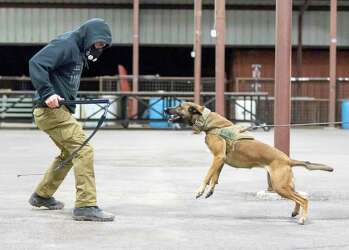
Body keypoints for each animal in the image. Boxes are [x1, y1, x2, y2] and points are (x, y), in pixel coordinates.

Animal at [164, 101, 334, 225]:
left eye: (179, 107)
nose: (166, 109)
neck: (209, 122)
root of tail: (287, 159)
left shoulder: (217, 157)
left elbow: (207, 176)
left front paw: (200, 190)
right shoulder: (221, 159)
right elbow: (215, 177)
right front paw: (210, 190)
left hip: (280, 187)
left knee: (304, 199)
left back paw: (303, 218)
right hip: (284, 185)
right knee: (298, 196)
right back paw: (295, 212)